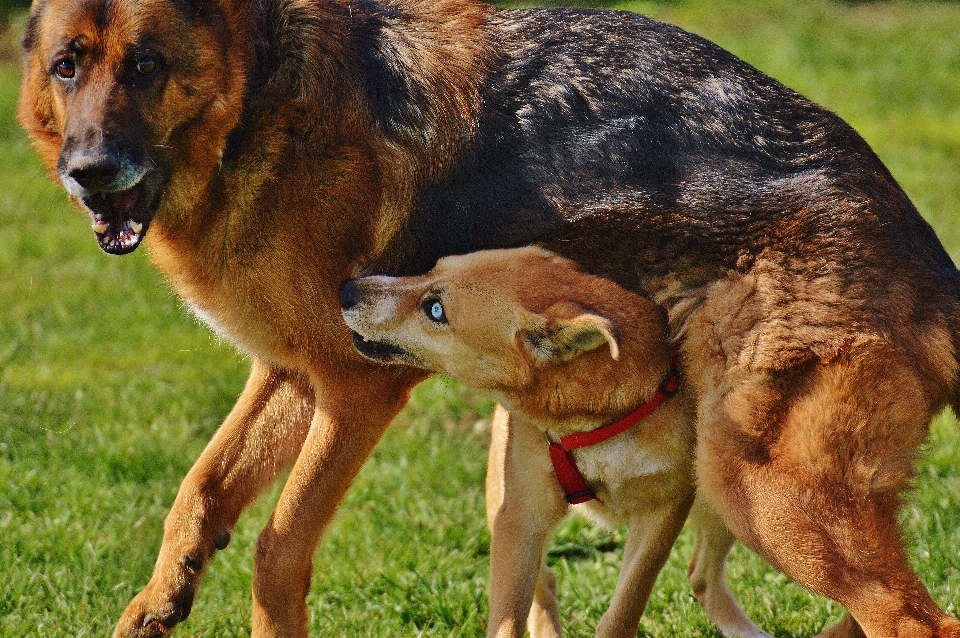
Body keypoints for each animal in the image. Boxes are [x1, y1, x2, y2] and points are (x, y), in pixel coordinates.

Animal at [344, 246, 772, 638]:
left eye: (435, 310)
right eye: (432, 267)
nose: (346, 289)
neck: (594, 424)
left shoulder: (663, 511)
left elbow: (623, 610)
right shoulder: (521, 513)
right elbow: (507, 619)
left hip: (729, 503)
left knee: (701, 576)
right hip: (501, 505)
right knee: (545, 582)